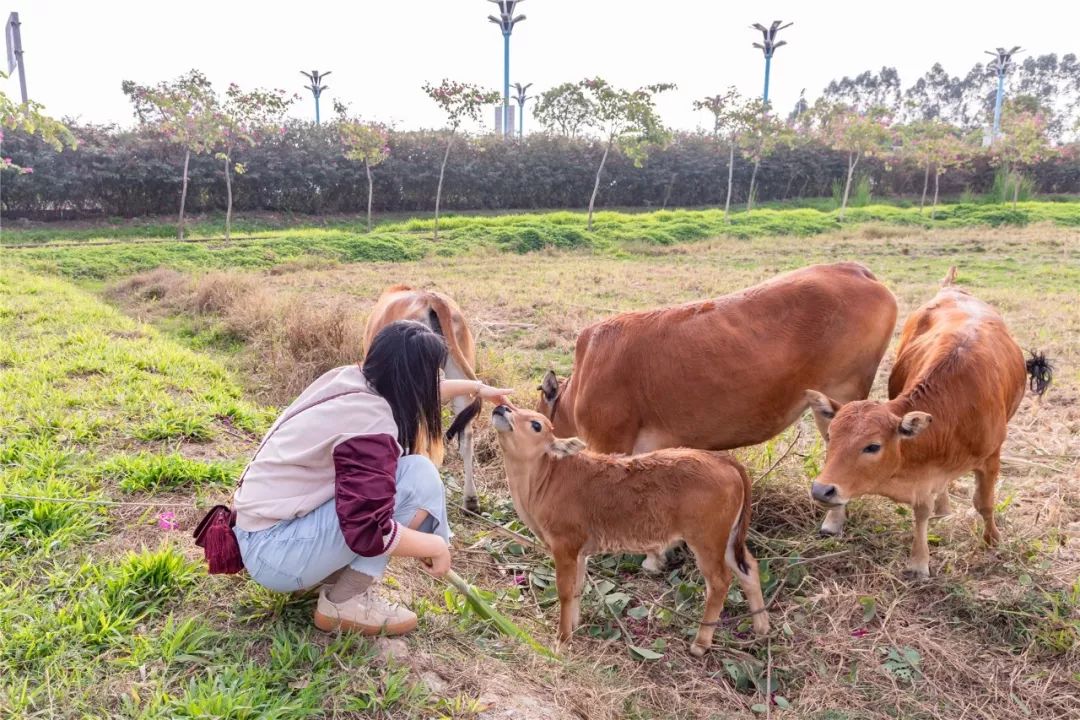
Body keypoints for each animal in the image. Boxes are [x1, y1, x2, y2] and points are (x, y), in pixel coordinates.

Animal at [490, 403, 768, 656]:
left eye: (536, 425)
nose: (502, 408)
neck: (544, 479)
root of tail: (725, 461)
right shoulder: (580, 551)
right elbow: (578, 588)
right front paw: (575, 626)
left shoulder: (565, 544)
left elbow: (565, 591)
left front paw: (562, 640)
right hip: (727, 539)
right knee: (748, 568)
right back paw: (762, 627)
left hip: (706, 540)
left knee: (720, 582)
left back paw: (701, 643)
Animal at [807, 267, 1049, 578]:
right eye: (831, 437)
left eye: (872, 446)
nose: (821, 490)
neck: (955, 405)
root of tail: (951, 289)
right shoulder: (922, 468)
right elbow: (922, 510)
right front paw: (920, 561)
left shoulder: (991, 457)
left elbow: (984, 504)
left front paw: (992, 539)